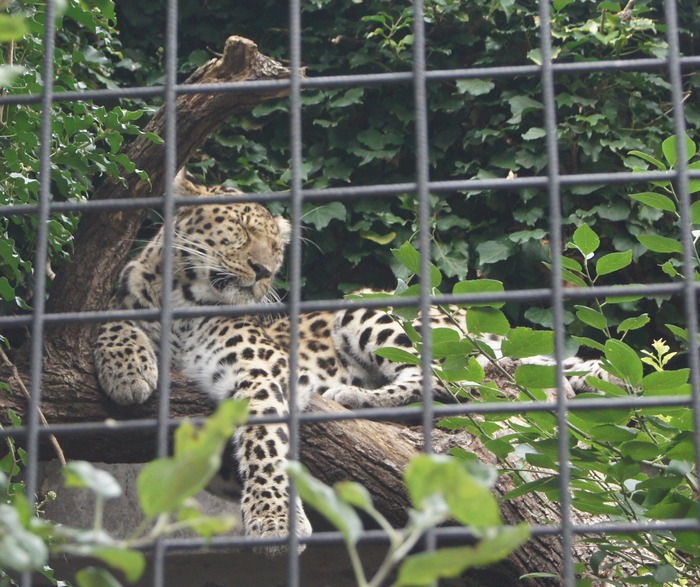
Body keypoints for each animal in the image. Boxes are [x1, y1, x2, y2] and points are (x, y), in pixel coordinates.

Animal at [95, 171, 608, 556]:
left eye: (275, 247)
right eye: (240, 230)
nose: (264, 272)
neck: (185, 300)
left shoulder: (261, 369)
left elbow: (266, 441)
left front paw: (273, 518)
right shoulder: (130, 300)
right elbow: (113, 319)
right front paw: (128, 371)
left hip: (369, 308)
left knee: (444, 377)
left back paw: (350, 393)